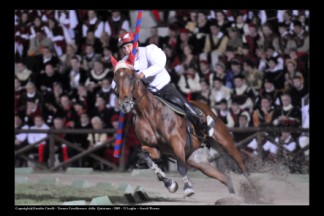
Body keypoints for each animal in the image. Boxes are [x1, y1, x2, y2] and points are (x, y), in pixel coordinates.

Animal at [110, 56, 248, 197]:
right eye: (115, 79)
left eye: (131, 77)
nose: (125, 104)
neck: (148, 113)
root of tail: (206, 107)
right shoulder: (153, 148)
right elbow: (146, 157)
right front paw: (170, 183)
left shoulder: (176, 142)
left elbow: (180, 167)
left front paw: (187, 188)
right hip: (198, 161)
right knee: (226, 178)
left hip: (225, 142)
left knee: (241, 163)